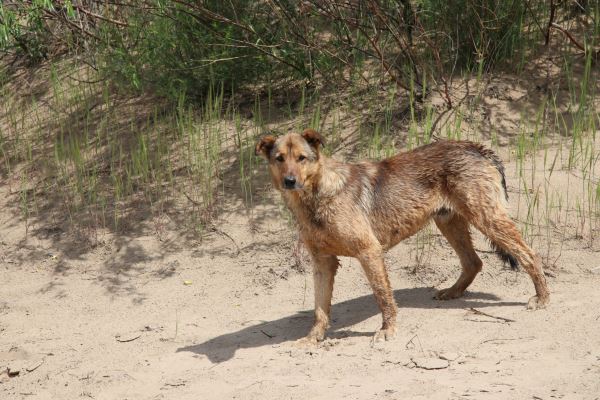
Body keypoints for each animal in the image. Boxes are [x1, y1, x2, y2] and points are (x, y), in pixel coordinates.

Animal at [253, 129, 548, 344]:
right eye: (280, 158)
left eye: (301, 158)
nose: (290, 181)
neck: (316, 197)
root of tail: (477, 147)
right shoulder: (323, 262)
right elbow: (320, 308)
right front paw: (313, 338)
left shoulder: (369, 252)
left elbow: (383, 296)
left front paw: (388, 329)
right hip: (449, 222)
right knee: (474, 262)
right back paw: (453, 292)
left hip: (486, 219)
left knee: (530, 254)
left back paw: (542, 299)